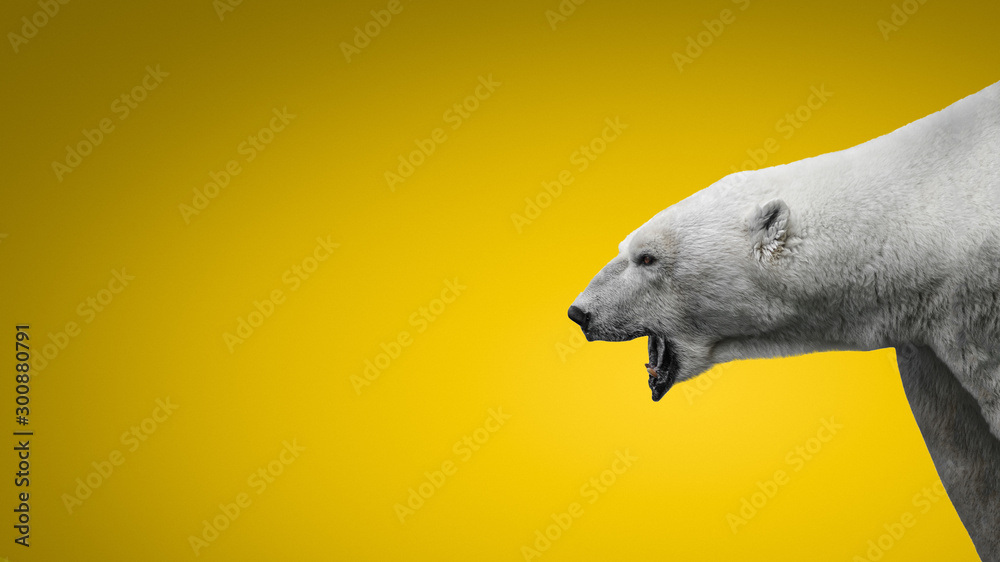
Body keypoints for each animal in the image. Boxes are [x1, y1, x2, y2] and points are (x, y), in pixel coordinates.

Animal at [568, 81, 1000, 560]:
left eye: (647, 257)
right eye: (625, 248)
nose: (579, 312)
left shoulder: (976, 305)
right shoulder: (932, 330)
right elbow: (962, 452)